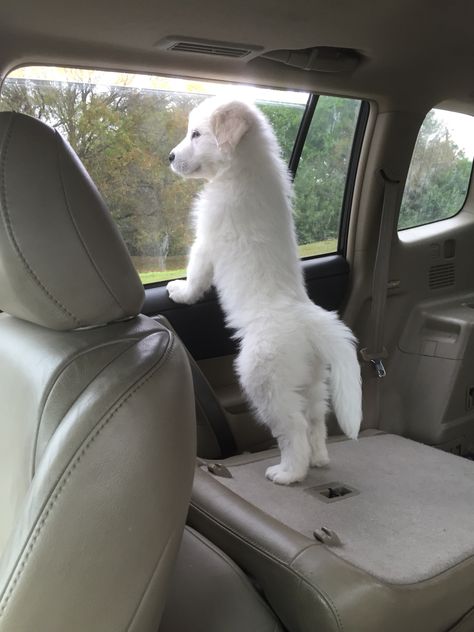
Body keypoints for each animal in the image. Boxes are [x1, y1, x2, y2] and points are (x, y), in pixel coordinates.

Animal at [168, 97, 362, 484]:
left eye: (196, 134)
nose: (169, 156)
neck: (243, 167)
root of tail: (310, 322)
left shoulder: (207, 240)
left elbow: (196, 273)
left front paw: (180, 291)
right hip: (312, 382)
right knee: (316, 420)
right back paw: (320, 459)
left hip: (263, 379)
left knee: (294, 428)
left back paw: (289, 472)